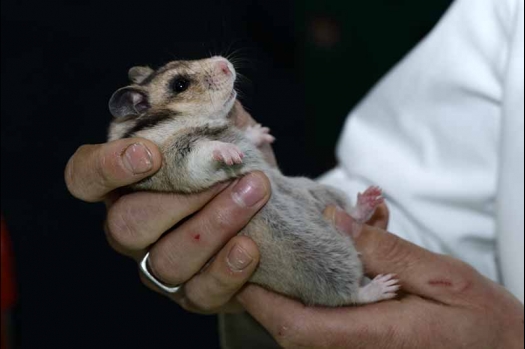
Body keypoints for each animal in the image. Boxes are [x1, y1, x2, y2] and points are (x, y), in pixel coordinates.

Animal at [105, 55, 398, 306]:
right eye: (180, 84)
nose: (225, 63)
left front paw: (261, 133)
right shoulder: (175, 160)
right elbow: (203, 152)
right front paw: (232, 153)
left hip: (320, 191)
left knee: (348, 213)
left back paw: (370, 199)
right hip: (325, 271)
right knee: (351, 296)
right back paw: (385, 285)